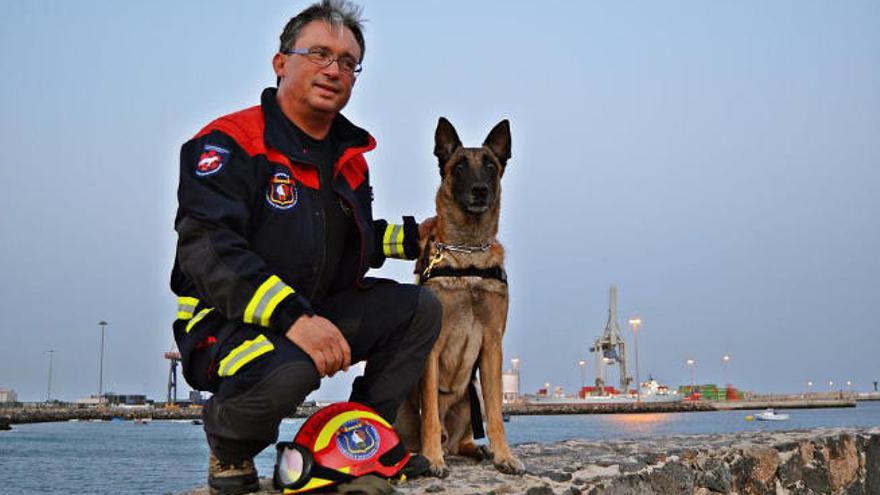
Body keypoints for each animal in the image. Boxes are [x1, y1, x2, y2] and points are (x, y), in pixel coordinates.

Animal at [398, 118, 524, 478]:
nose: (480, 190)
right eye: (459, 167)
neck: (469, 253)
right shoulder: (433, 346)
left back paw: (476, 449)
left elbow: (496, 412)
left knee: (459, 440)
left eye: (491, 166)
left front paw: (504, 455)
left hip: (472, 396)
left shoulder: (493, 345)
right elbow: (429, 412)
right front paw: (433, 460)